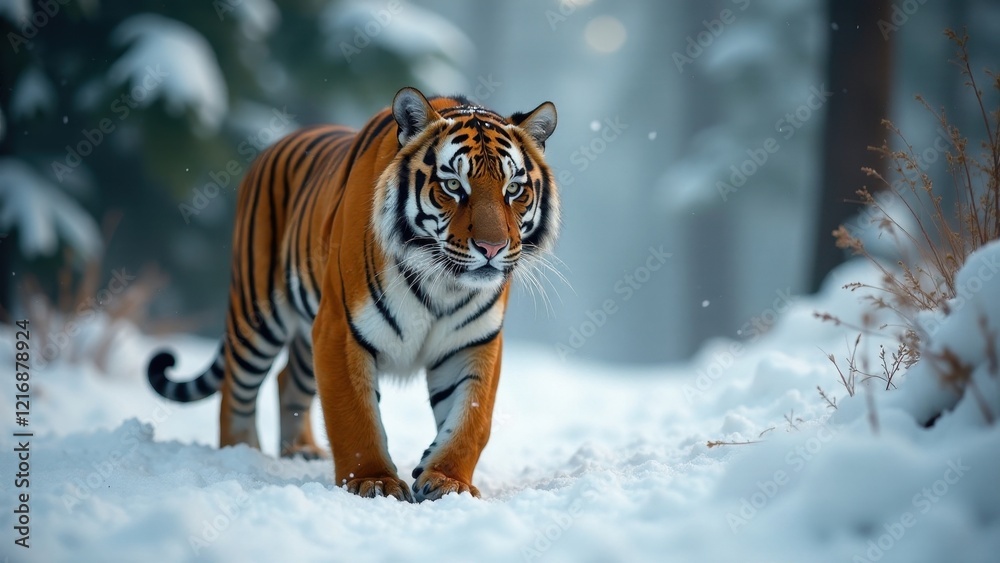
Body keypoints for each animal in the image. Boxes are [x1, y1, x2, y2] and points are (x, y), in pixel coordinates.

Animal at [146, 87, 559, 502]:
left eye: (514, 189)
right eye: (454, 186)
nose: (492, 248)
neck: (442, 282)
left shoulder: (474, 341)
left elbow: (471, 419)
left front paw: (448, 481)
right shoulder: (341, 330)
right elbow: (355, 418)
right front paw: (373, 481)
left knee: (286, 380)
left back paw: (301, 452)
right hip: (258, 315)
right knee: (236, 389)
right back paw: (240, 454)